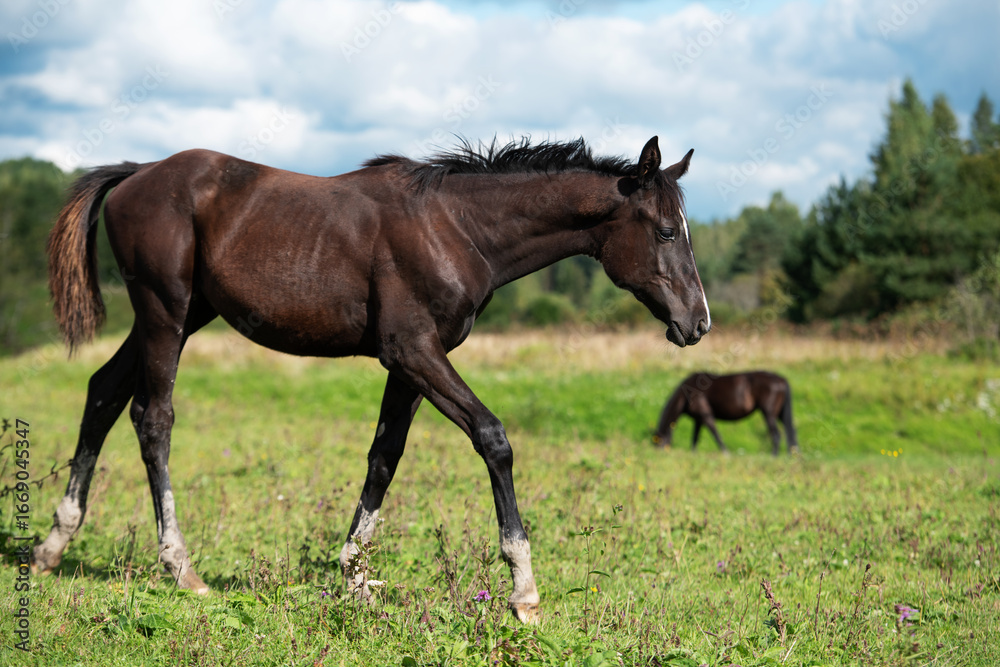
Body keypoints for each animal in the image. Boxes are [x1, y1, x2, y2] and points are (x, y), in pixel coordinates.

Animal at [34, 136, 710, 623]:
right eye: (665, 231)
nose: (698, 322)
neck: (455, 226)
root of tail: (137, 172)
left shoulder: (412, 364)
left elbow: (385, 455)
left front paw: (355, 575)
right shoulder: (414, 352)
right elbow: (492, 438)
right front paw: (523, 590)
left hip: (180, 316)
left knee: (103, 392)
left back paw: (52, 546)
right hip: (164, 313)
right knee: (153, 418)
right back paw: (180, 566)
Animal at [653, 371, 798, 455]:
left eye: (657, 442)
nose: (658, 454)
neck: (688, 393)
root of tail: (781, 380)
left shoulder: (706, 416)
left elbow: (716, 435)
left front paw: (725, 453)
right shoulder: (698, 420)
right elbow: (695, 437)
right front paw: (693, 453)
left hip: (768, 413)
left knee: (776, 435)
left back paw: (774, 456)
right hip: (780, 414)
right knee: (791, 431)